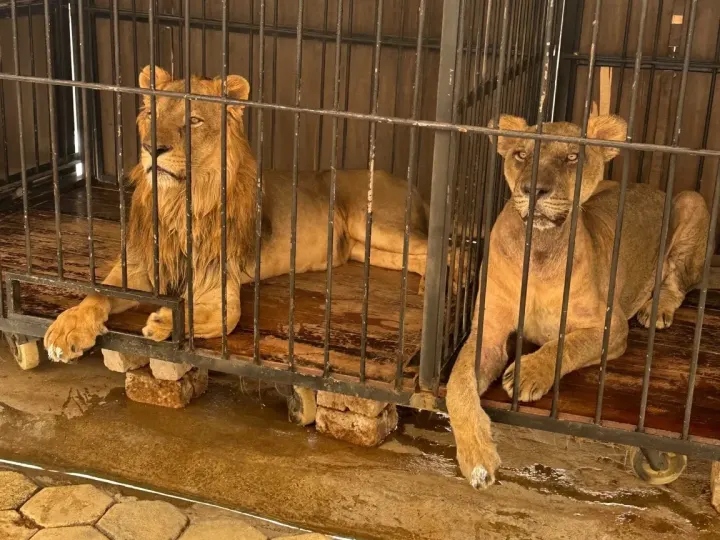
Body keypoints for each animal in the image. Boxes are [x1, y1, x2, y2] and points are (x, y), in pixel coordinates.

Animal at [44, 65, 430, 363]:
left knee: (439, 249)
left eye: (193, 120)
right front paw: (67, 328)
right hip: (366, 249)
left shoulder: (220, 282)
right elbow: (97, 293)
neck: (180, 200)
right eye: (152, 115)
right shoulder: (138, 267)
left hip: (378, 224)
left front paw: (165, 320)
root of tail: (411, 183)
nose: (151, 148)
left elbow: (223, 317)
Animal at [446, 114, 710, 490]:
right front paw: (478, 458)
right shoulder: (489, 333)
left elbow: (564, 345)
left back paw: (656, 310)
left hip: (692, 201)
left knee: (677, 282)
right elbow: (457, 386)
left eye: (572, 157)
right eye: (521, 154)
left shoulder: (611, 327)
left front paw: (527, 373)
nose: (533, 189)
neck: (539, 253)